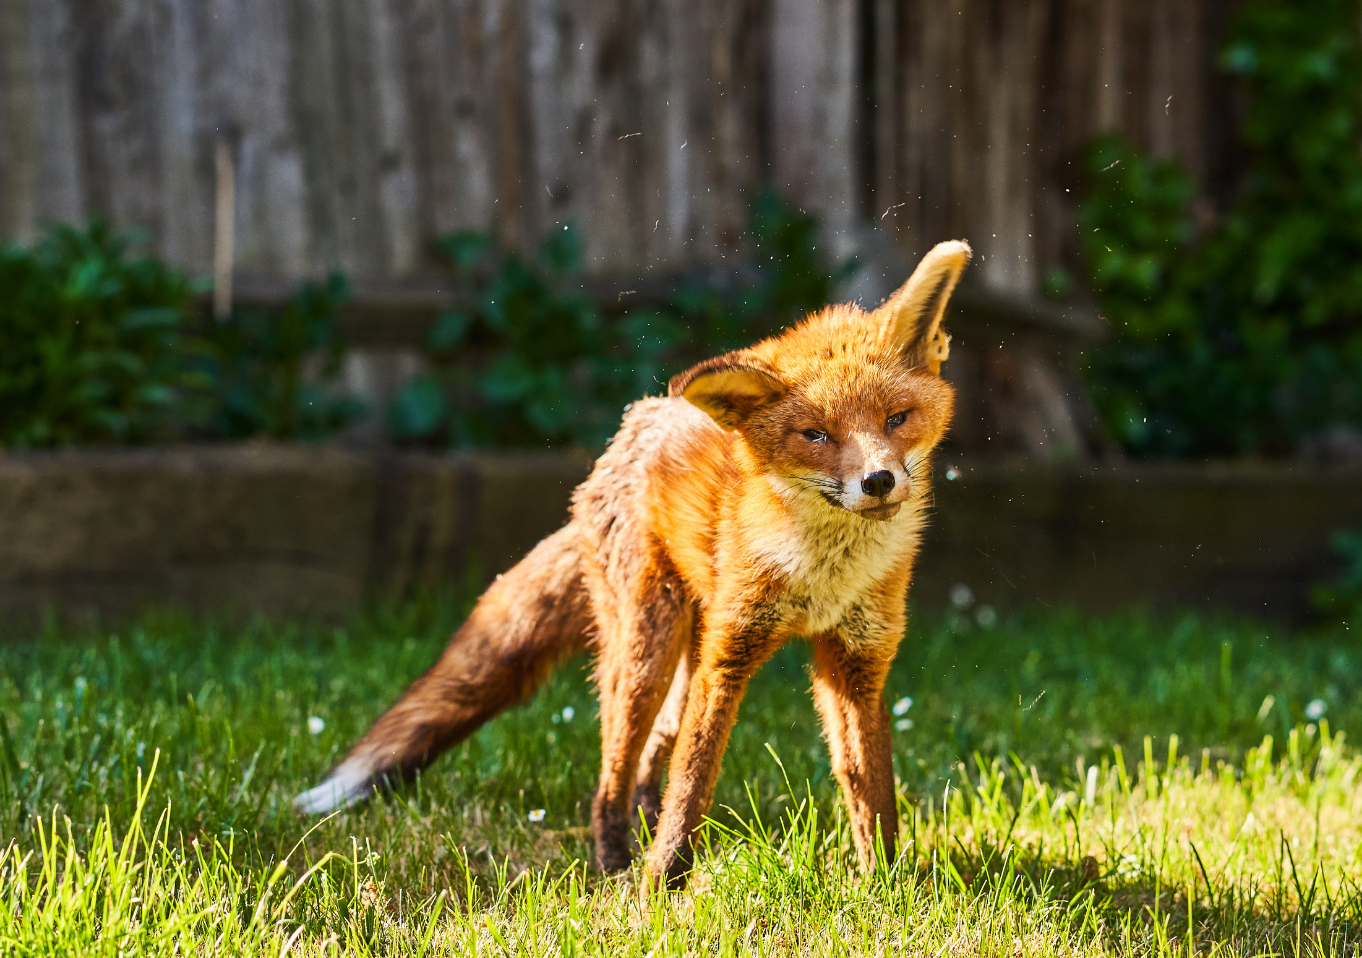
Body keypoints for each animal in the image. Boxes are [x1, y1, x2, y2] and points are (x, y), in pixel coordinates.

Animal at [294, 241, 975, 893]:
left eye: (895, 419)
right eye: (816, 435)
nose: (878, 481)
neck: (822, 577)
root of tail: (635, 422)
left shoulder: (857, 663)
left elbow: (869, 790)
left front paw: (887, 883)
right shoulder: (731, 656)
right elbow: (694, 781)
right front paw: (662, 885)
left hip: (685, 653)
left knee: (653, 764)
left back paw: (642, 834)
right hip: (647, 652)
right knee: (613, 777)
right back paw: (616, 863)